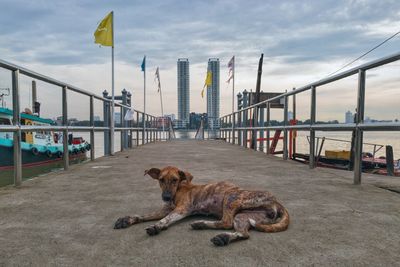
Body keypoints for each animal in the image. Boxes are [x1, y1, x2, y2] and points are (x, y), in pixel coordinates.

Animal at [114, 168, 290, 247]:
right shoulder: (164, 209)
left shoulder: (181, 209)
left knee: (226, 222)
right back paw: (220, 236)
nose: (166, 197)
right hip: (245, 216)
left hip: (231, 197)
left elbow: (165, 219)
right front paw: (126, 220)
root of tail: (277, 201)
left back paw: (205, 226)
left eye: (175, 179)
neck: (178, 190)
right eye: (161, 180)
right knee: (243, 233)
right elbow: (144, 215)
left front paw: (157, 226)